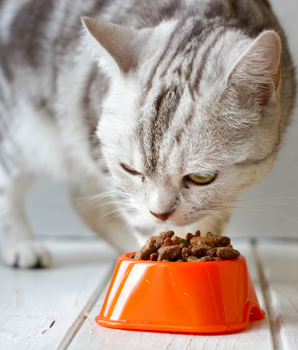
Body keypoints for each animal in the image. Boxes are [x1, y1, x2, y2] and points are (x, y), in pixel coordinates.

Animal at [0, 0, 294, 268]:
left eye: (201, 178)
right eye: (130, 170)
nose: (160, 213)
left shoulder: (224, 195)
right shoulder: (105, 163)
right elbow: (145, 222)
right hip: (21, 135)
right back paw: (22, 246)